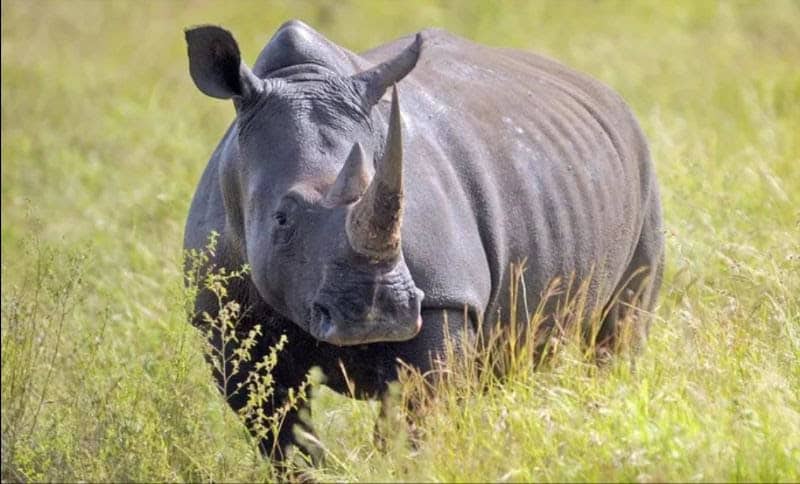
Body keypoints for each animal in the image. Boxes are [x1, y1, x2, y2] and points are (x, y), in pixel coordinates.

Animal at [183, 20, 664, 463]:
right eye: (281, 220)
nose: (378, 316)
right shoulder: (222, 318)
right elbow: (280, 429)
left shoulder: (443, 297)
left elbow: (414, 412)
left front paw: (402, 465)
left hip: (640, 167)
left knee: (620, 328)